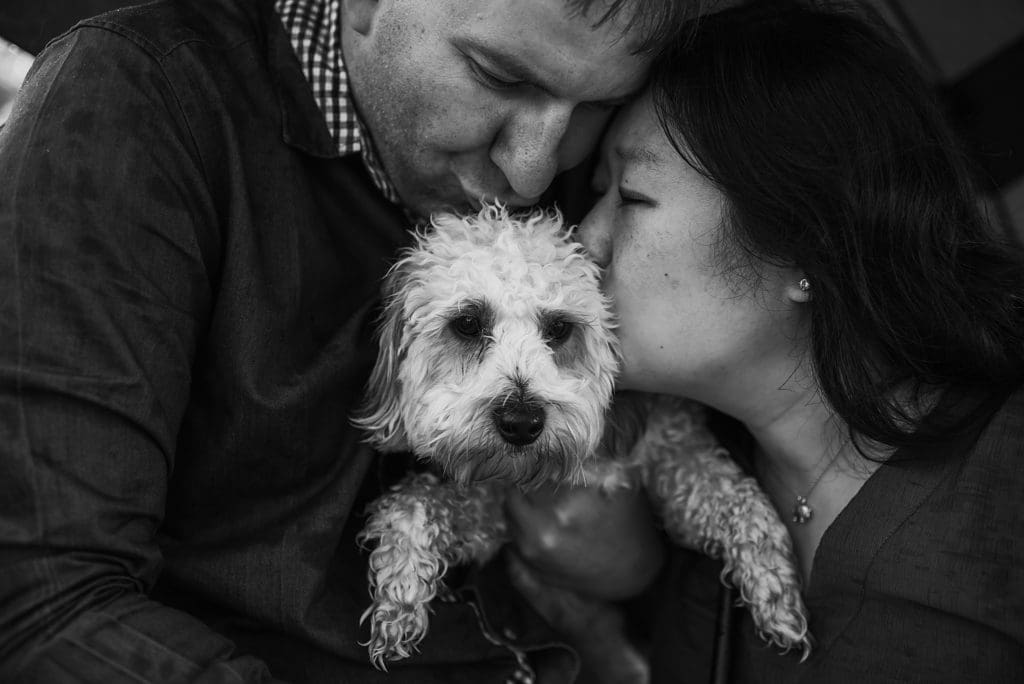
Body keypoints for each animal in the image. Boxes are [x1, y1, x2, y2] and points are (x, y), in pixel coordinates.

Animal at [352, 202, 806, 667]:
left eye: (559, 328)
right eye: (467, 324)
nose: (521, 422)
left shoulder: (676, 454)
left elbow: (740, 499)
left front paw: (777, 591)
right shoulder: (491, 511)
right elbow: (413, 504)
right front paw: (400, 592)